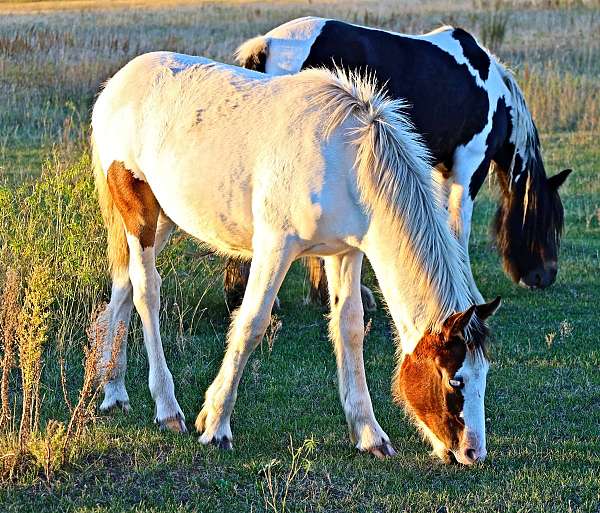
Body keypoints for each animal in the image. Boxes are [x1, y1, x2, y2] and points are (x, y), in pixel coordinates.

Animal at [91, 51, 500, 460]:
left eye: (483, 375)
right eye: (454, 381)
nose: (472, 453)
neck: (346, 161)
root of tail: (119, 82)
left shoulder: (345, 253)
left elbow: (350, 327)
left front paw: (369, 434)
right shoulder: (275, 247)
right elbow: (252, 323)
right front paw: (215, 424)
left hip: (162, 219)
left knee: (124, 286)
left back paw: (113, 391)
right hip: (138, 212)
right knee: (147, 291)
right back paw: (166, 408)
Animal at [230, 16, 572, 304]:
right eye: (546, 222)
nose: (544, 276)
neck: (493, 94)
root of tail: (268, 44)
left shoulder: (438, 168)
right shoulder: (470, 165)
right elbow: (458, 228)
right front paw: (471, 293)